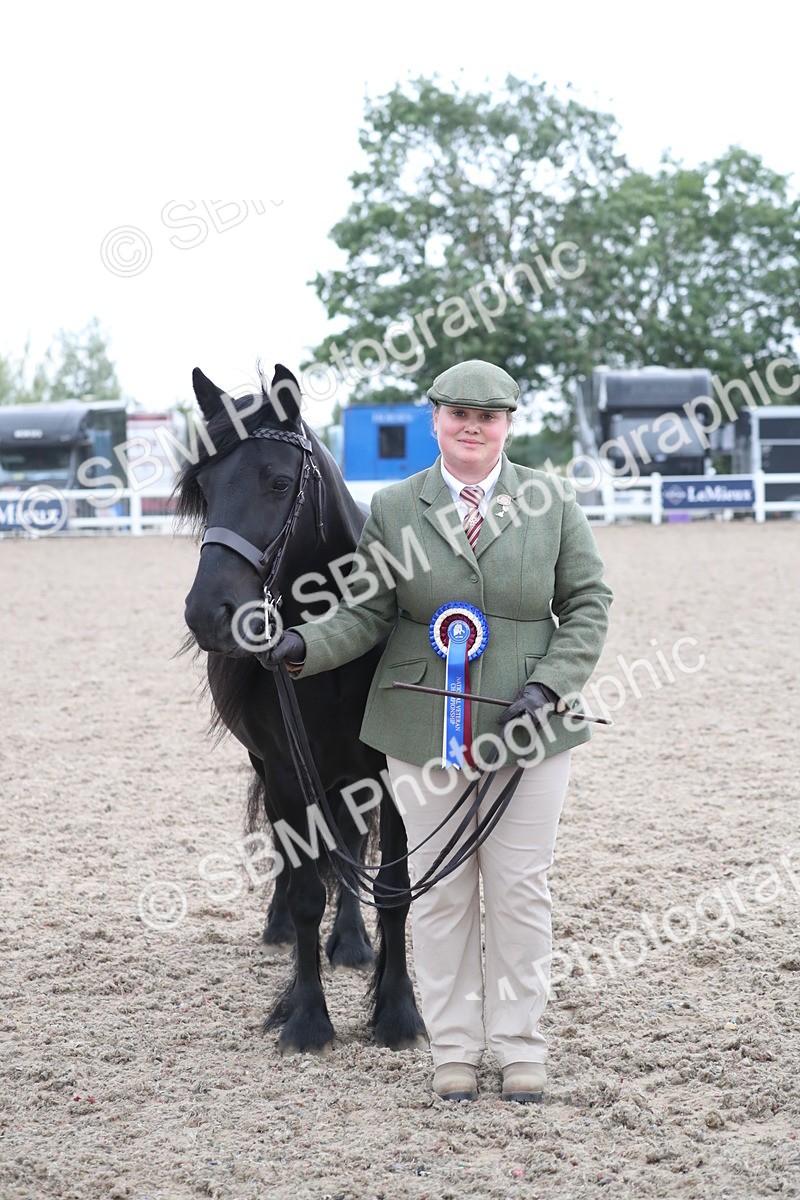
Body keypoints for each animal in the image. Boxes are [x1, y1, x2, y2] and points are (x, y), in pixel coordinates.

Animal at [176, 362, 425, 1055]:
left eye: (280, 482)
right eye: (203, 486)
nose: (207, 613)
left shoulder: (388, 769)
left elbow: (392, 887)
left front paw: (397, 1012)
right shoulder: (287, 770)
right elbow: (309, 889)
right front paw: (308, 1017)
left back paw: (353, 942)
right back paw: (281, 926)